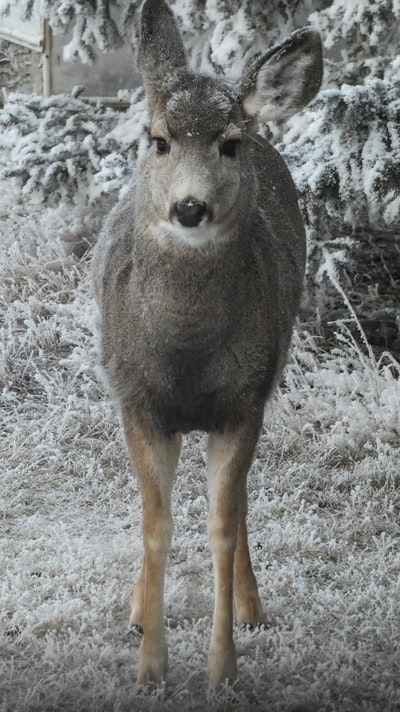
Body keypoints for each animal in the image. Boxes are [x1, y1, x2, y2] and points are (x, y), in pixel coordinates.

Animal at [92, 0, 324, 688]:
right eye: (159, 139)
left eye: (229, 143)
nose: (189, 208)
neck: (187, 356)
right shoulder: (137, 401)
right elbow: (155, 526)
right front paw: (150, 665)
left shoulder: (242, 401)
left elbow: (221, 524)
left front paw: (223, 669)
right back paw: (137, 608)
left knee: (241, 501)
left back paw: (251, 606)